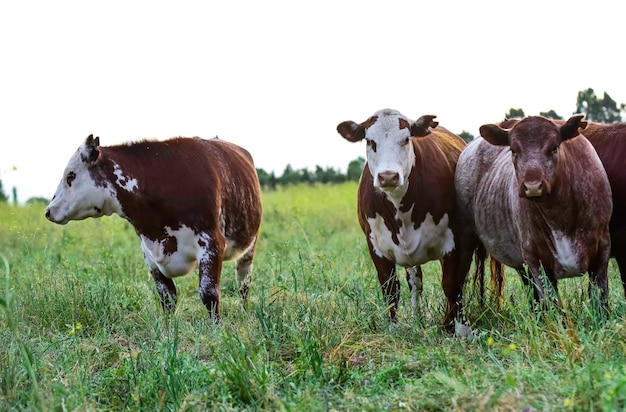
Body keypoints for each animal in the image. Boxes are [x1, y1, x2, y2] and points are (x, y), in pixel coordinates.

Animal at [45, 135, 260, 322]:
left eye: (71, 175)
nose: (49, 211)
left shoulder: (211, 243)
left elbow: (209, 293)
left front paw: (217, 329)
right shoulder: (149, 253)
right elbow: (167, 296)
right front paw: (168, 328)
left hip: (249, 248)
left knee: (243, 283)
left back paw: (245, 311)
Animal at [336, 109, 464, 332]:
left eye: (406, 139)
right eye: (370, 141)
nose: (388, 176)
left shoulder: (453, 241)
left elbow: (450, 284)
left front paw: (450, 327)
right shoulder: (375, 245)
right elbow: (390, 288)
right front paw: (393, 328)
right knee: (415, 281)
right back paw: (417, 319)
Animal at [454, 114, 608, 310]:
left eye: (554, 148)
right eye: (513, 150)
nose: (532, 186)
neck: (559, 214)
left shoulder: (602, 247)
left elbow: (600, 297)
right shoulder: (534, 256)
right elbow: (550, 303)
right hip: (465, 240)